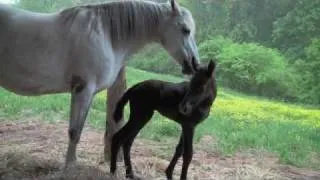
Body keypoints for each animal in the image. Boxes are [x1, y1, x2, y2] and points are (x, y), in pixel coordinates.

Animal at [0, 0, 200, 167]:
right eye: (185, 29)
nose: (194, 64)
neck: (105, 35)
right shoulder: (83, 90)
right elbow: (74, 131)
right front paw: (69, 166)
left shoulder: (88, 93)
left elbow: (79, 129)